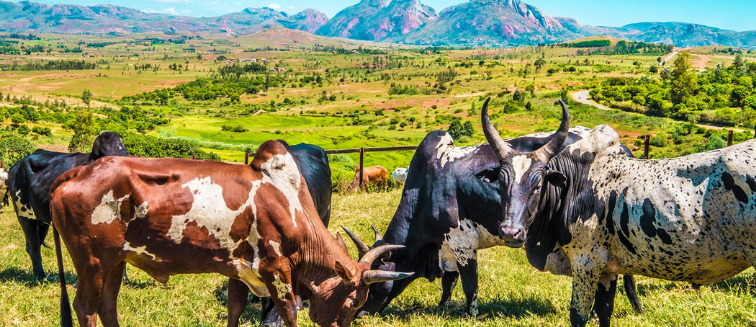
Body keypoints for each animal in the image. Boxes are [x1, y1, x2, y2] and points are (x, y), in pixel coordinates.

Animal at [352, 126, 640, 320]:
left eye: (372, 285)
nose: (359, 314)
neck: (426, 186)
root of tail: (621, 149)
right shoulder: (449, 247)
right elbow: (449, 282)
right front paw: (443, 306)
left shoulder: (463, 242)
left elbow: (469, 284)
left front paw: (471, 315)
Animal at [482, 98, 756, 326]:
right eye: (501, 182)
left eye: (538, 184)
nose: (510, 232)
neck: (574, 184)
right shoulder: (608, 269)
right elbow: (605, 312)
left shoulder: (586, 264)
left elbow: (578, 316)